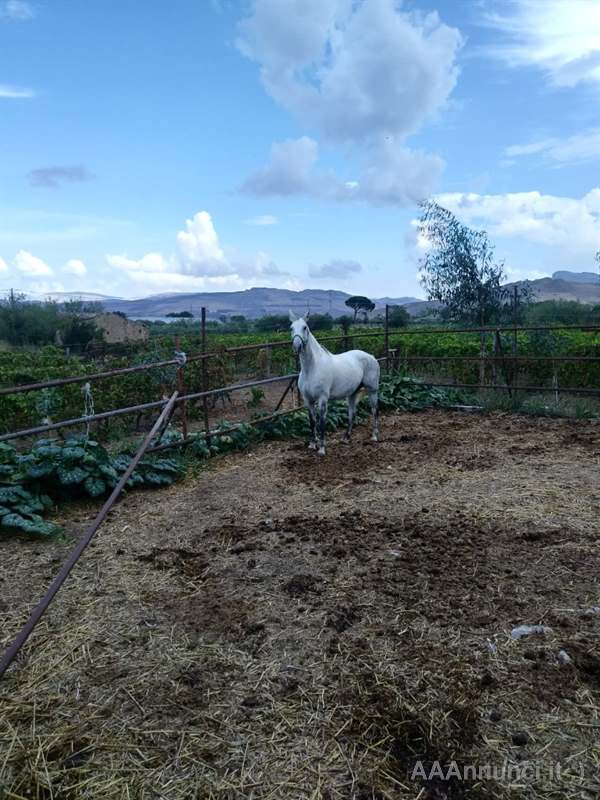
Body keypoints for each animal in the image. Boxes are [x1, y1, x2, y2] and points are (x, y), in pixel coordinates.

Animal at [290, 310, 380, 454]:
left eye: (305, 327)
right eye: (291, 328)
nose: (297, 346)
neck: (312, 368)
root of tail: (371, 356)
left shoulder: (322, 399)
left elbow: (321, 422)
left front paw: (321, 449)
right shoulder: (308, 400)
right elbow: (312, 421)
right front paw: (312, 444)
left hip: (372, 390)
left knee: (374, 410)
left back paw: (374, 436)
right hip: (352, 393)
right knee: (351, 413)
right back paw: (346, 438)